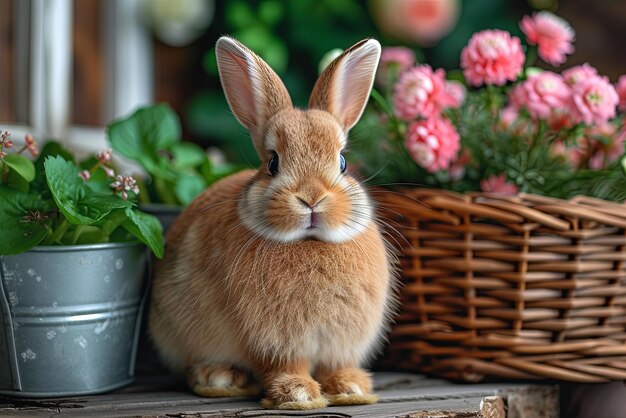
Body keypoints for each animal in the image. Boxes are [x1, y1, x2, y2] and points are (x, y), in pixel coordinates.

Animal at [147, 36, 394, 412]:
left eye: (342, 162)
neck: (309, 242)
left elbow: (336, 365)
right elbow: (283, 365)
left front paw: (352, 389)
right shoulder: (270, 339)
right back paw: (219, 378)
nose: (311, 198)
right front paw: (298, 395)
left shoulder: (339, 342)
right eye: (272, 163)